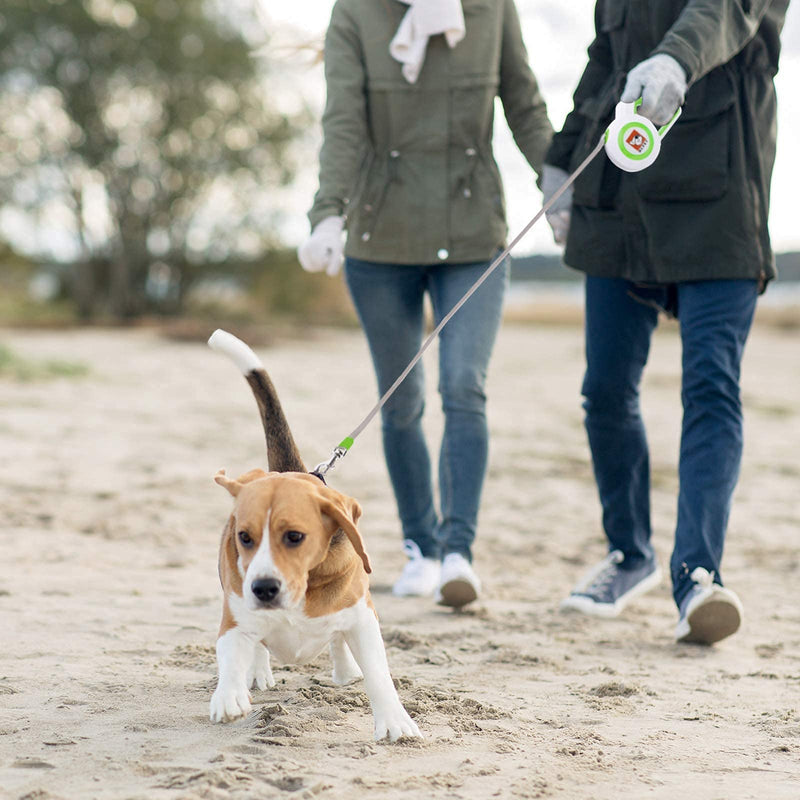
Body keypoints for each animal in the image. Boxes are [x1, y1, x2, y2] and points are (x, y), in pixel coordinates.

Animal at [205, 328, 418, 740]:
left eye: (294, 537)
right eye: (244, 538)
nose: (264, 589)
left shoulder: (363, 617)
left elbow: (379, 675)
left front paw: (394, 721)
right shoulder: (235, 615)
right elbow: (232, 651)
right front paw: (229, 695)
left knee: (338, 642)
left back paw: (345, 668)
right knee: (258, 647)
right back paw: (258, 672)